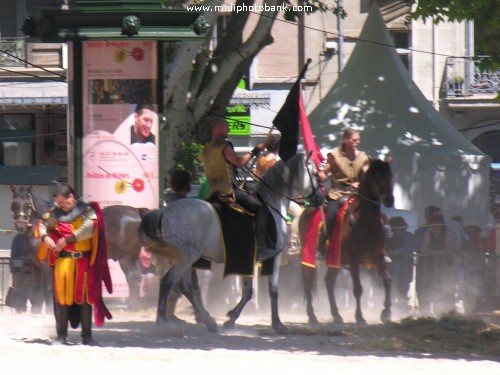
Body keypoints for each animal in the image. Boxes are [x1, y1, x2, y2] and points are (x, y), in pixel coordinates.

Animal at [298, 160, 392, 324]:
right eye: (377, 178)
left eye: (390, 176)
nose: (390, 200)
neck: (366, 222)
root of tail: (306, 210)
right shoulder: (354, 259)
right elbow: (358, 289)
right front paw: (359, 317)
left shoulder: (377, 257)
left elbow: (387, 281)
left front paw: (386, 313)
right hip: (309, 257)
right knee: (308, 283)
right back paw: (312, 315)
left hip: (335, 259)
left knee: (329, 282)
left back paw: (336, 315)